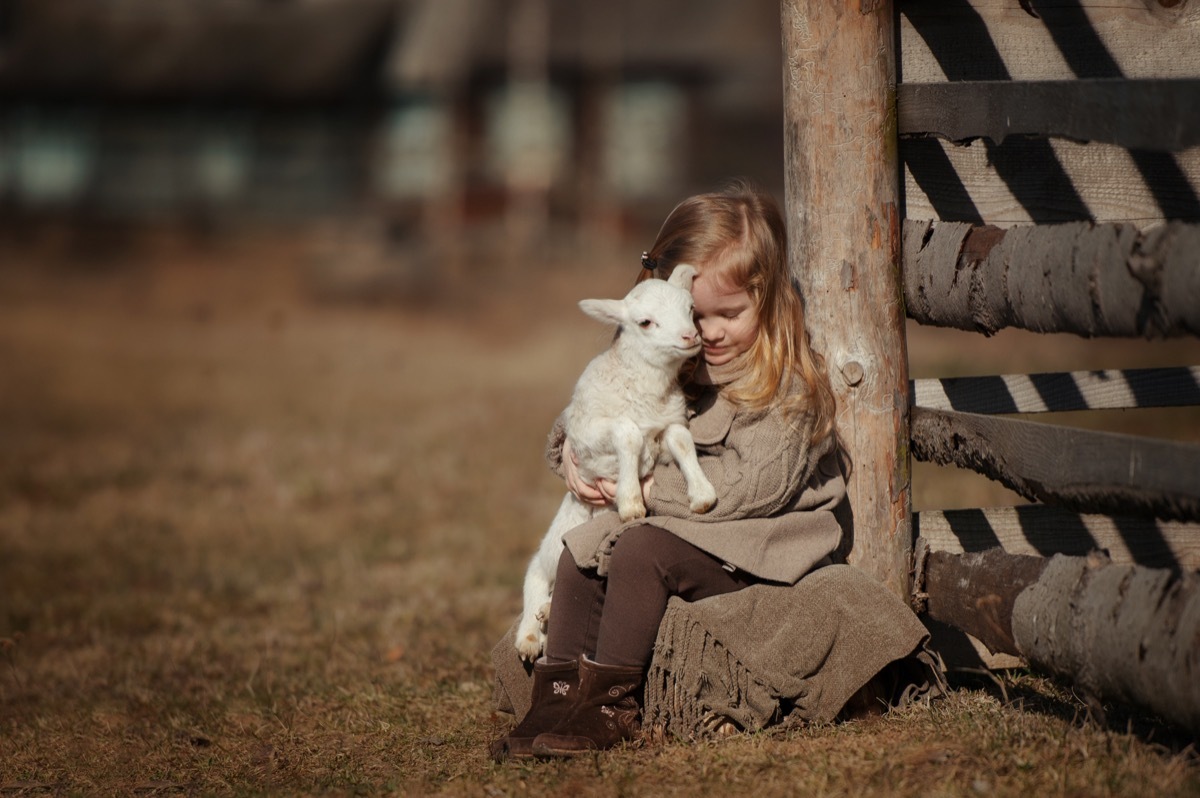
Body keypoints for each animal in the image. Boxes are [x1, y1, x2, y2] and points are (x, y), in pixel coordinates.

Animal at [515, 264, 718, 662]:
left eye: (690, 309)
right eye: (645, 322)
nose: (690, 337)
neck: (646, 392)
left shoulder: (669, 423)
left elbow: (682, 442)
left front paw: (702, 494)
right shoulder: (588, 435)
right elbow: (627, 433)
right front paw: (630, 502)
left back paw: (545, 613)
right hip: (552, 549)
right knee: (535, 577)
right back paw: (530, 635)